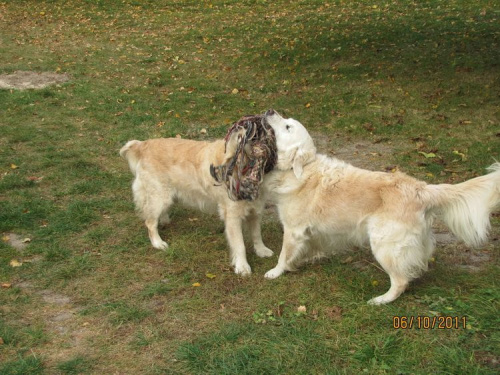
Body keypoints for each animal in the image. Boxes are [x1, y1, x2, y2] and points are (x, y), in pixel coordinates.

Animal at [119, 135, 276, 276]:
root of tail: (143, 144)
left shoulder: (255, 210)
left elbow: (256, 234)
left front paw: (261, 250)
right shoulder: (232, 216)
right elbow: (240, 245)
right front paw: (242, 267)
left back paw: (164, 221)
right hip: (159, 197)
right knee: (150, 222)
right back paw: (158, 243)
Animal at [264, 109, 498, 306]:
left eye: (288, 127)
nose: (269, 111)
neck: (301, 168)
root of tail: (420, 188)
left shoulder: (293, 229)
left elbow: (283, 254)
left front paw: (276, 271)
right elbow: (310, 246)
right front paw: (306, 258)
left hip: (384, 245)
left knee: (401, 281)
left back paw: (381, 300)